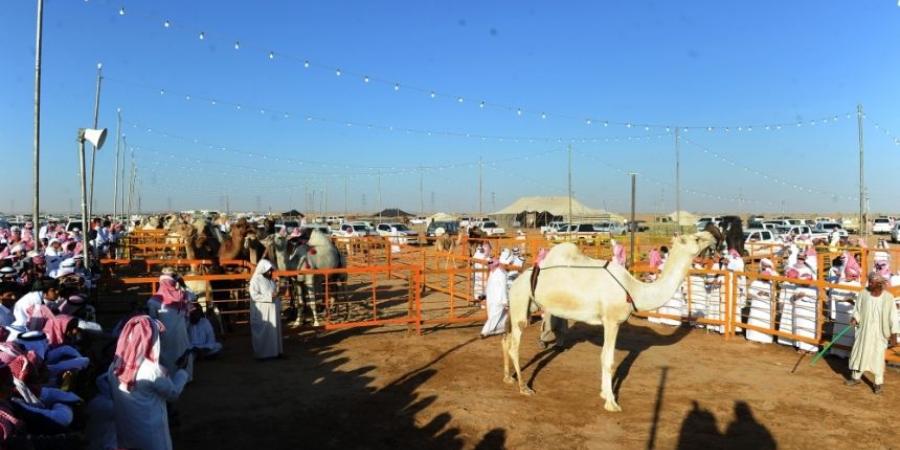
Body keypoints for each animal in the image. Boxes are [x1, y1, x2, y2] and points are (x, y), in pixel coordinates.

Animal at [502, 232, 720, 412]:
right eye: (697, 238)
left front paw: (604, 393)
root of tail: (517, 280)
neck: (634, 290)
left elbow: (606, 359)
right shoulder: (611, 321)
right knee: (514, 345)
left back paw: (508, 377)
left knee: (506, 340)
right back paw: (524, 387)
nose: (713, 235)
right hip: (521, 302)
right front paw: (611, 402)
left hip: (526, 304)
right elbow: (608, 359)